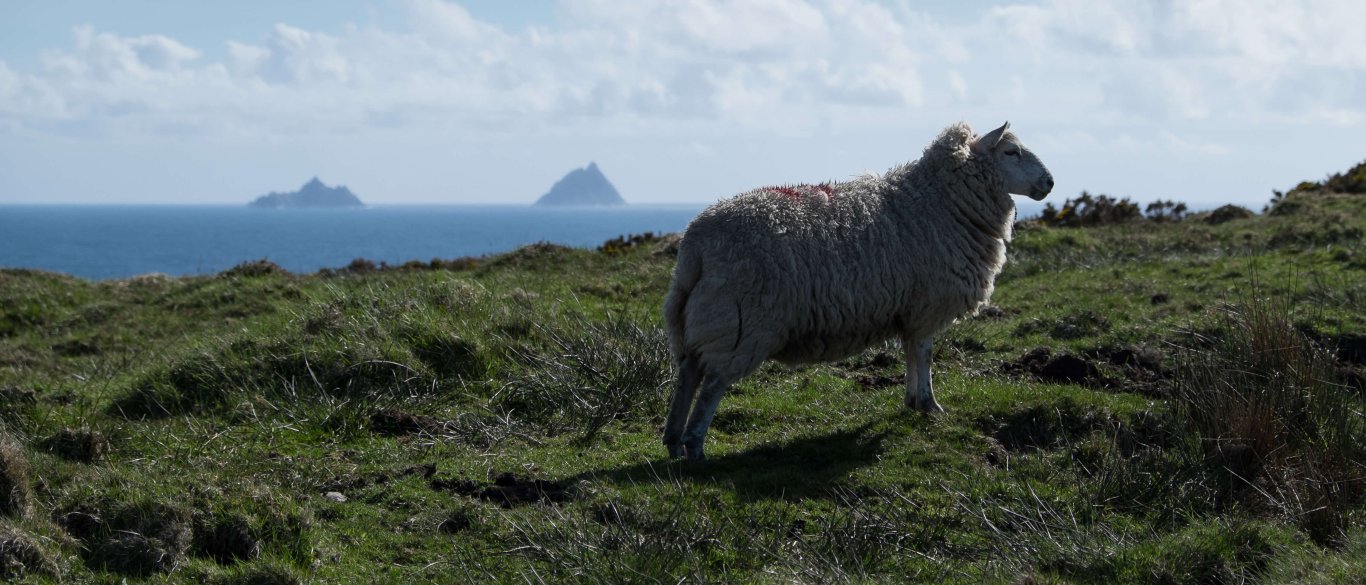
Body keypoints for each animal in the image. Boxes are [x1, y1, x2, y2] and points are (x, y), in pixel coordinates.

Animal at [661, 120, 1054, 459]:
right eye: (1011, 152)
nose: (1049, 182)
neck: (938, 200)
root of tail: (695, 244)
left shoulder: (909, 308)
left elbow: (911, 353)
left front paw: (912, 401)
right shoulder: (927, 305)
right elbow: (924, 353)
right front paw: (929, 404)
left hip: (701, 318)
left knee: (688, 374)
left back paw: (673, 441)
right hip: (740, 323)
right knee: (711, 385)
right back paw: (695, 447)